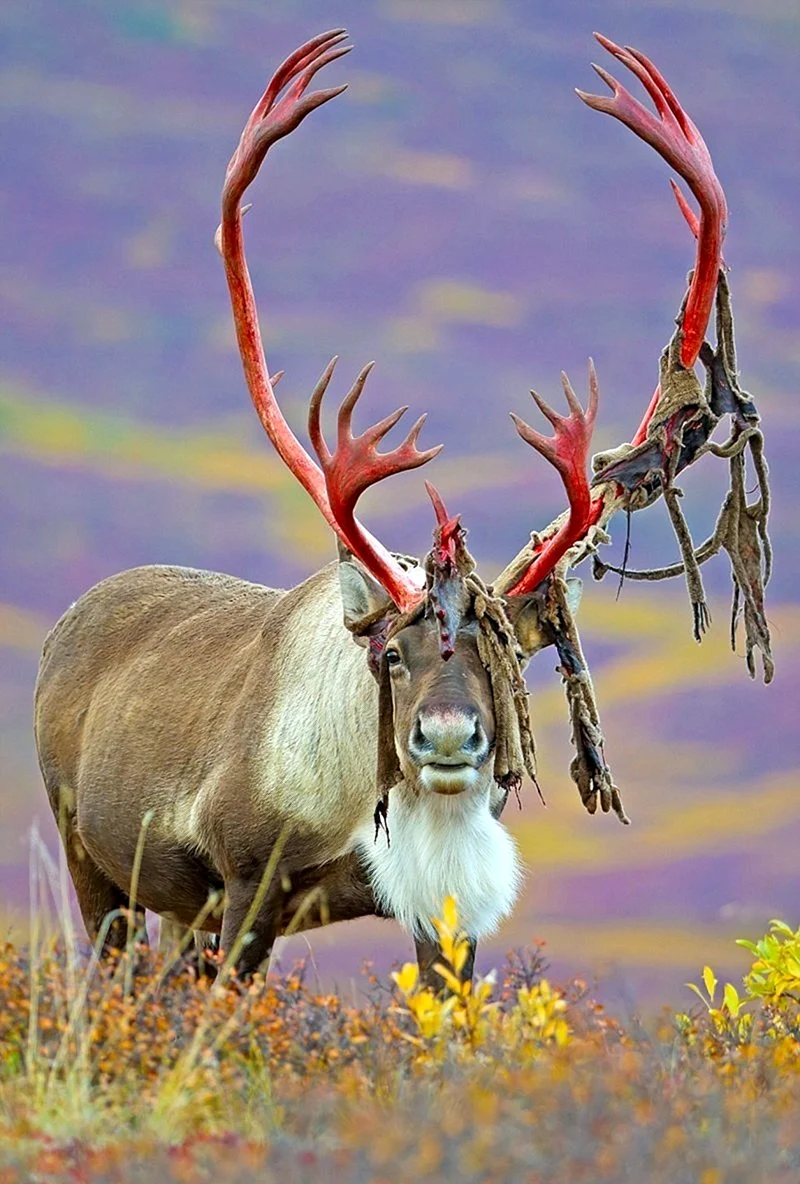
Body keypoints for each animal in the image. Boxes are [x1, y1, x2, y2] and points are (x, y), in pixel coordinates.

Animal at [34, 30, 772, 989]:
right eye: (391, 653)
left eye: (504, 657)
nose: (448, 740)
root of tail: (70, 620)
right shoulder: (248, 879)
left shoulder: (437, 912)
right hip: (93, 863)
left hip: (172, 906)